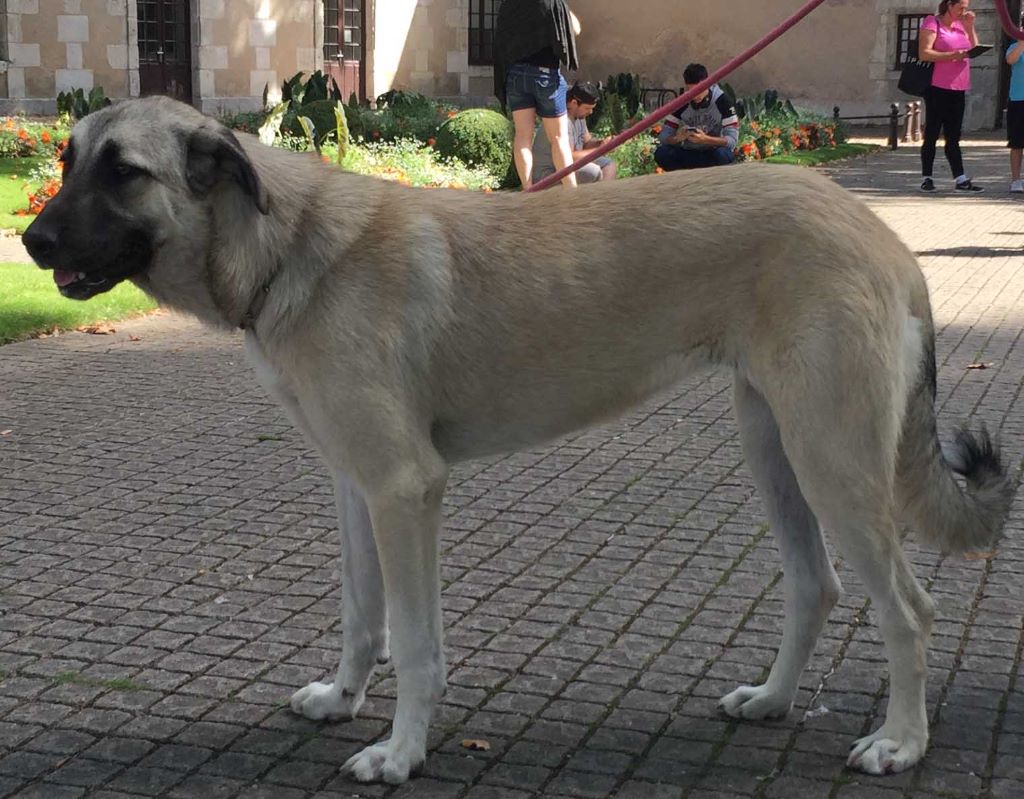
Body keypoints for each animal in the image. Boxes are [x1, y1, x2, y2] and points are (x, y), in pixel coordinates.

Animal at [23, 96, 1013, 784]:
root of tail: (879, 233)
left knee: (909, 608)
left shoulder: (404, 487)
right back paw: (771, 701)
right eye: (66, 160)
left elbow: (415, 641)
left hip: (833, 459)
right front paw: (342, 700)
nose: (30, 241)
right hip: (776, 448)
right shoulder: (354, 484)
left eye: (123, 171)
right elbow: (361, 616)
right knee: (818, 584)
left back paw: (901, 741)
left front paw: (400, 751)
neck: (287, 247)